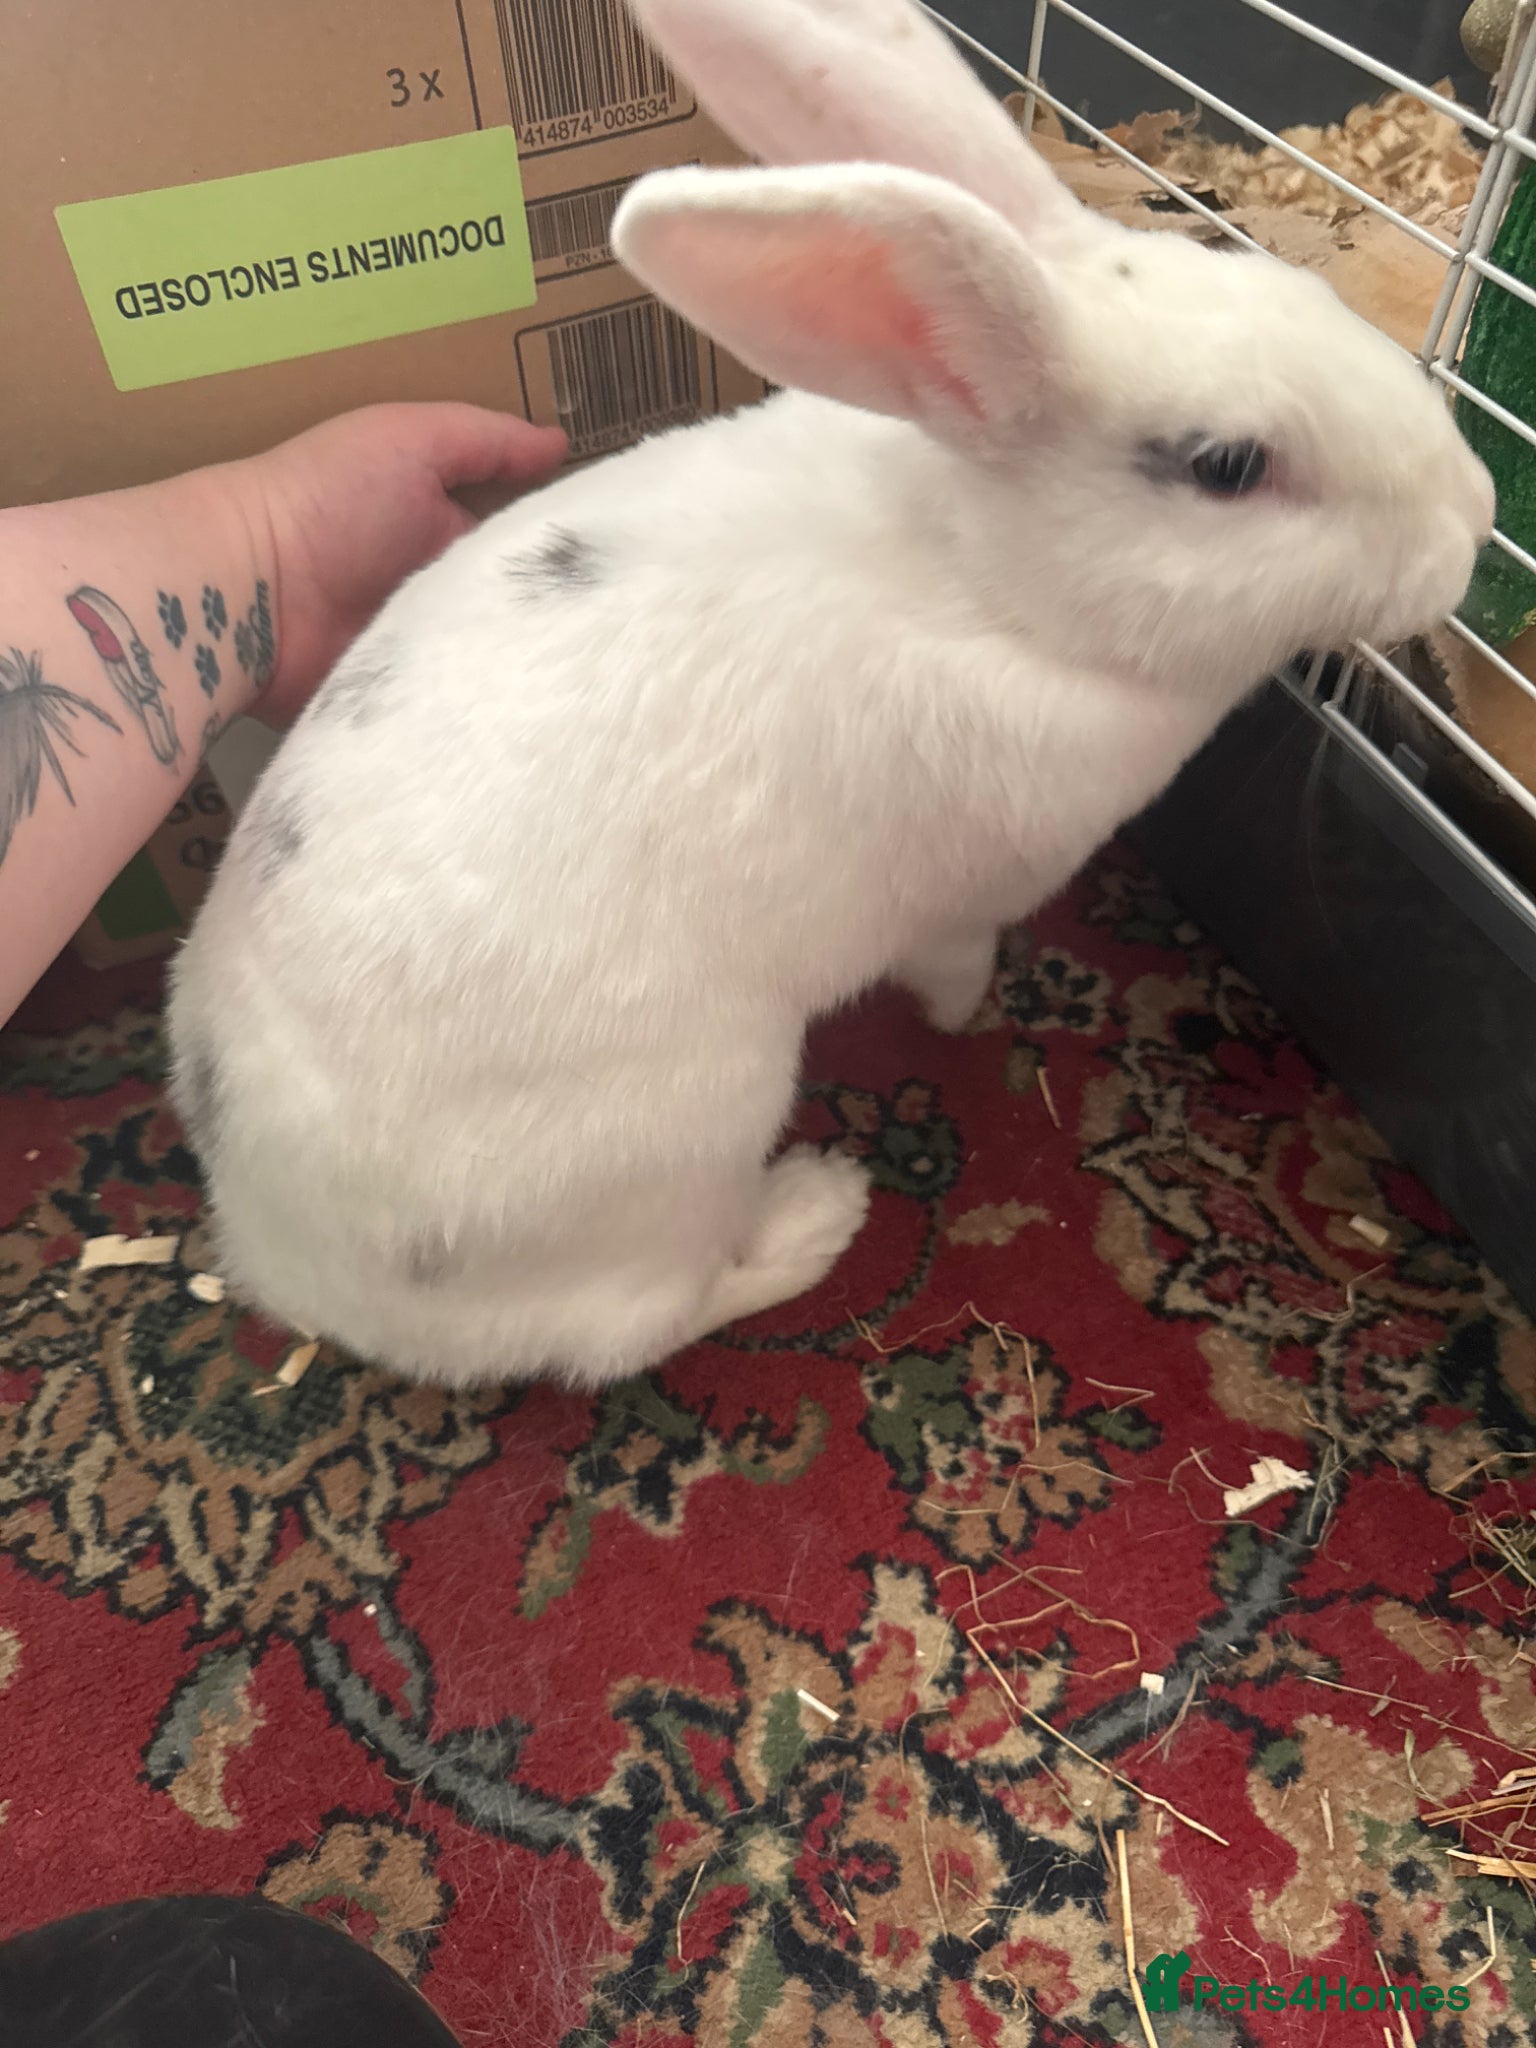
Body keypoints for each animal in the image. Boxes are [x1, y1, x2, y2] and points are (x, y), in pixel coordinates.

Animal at [165, 0, 1494, 1391]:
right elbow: (953, 965)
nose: (1475, 522)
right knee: (637, 1321)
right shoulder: (965, 891)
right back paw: (820, 1209)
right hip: (697, 1121)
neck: (988, 578)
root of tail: (289, 1269)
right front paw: (975, 1014)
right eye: (1229, 467)